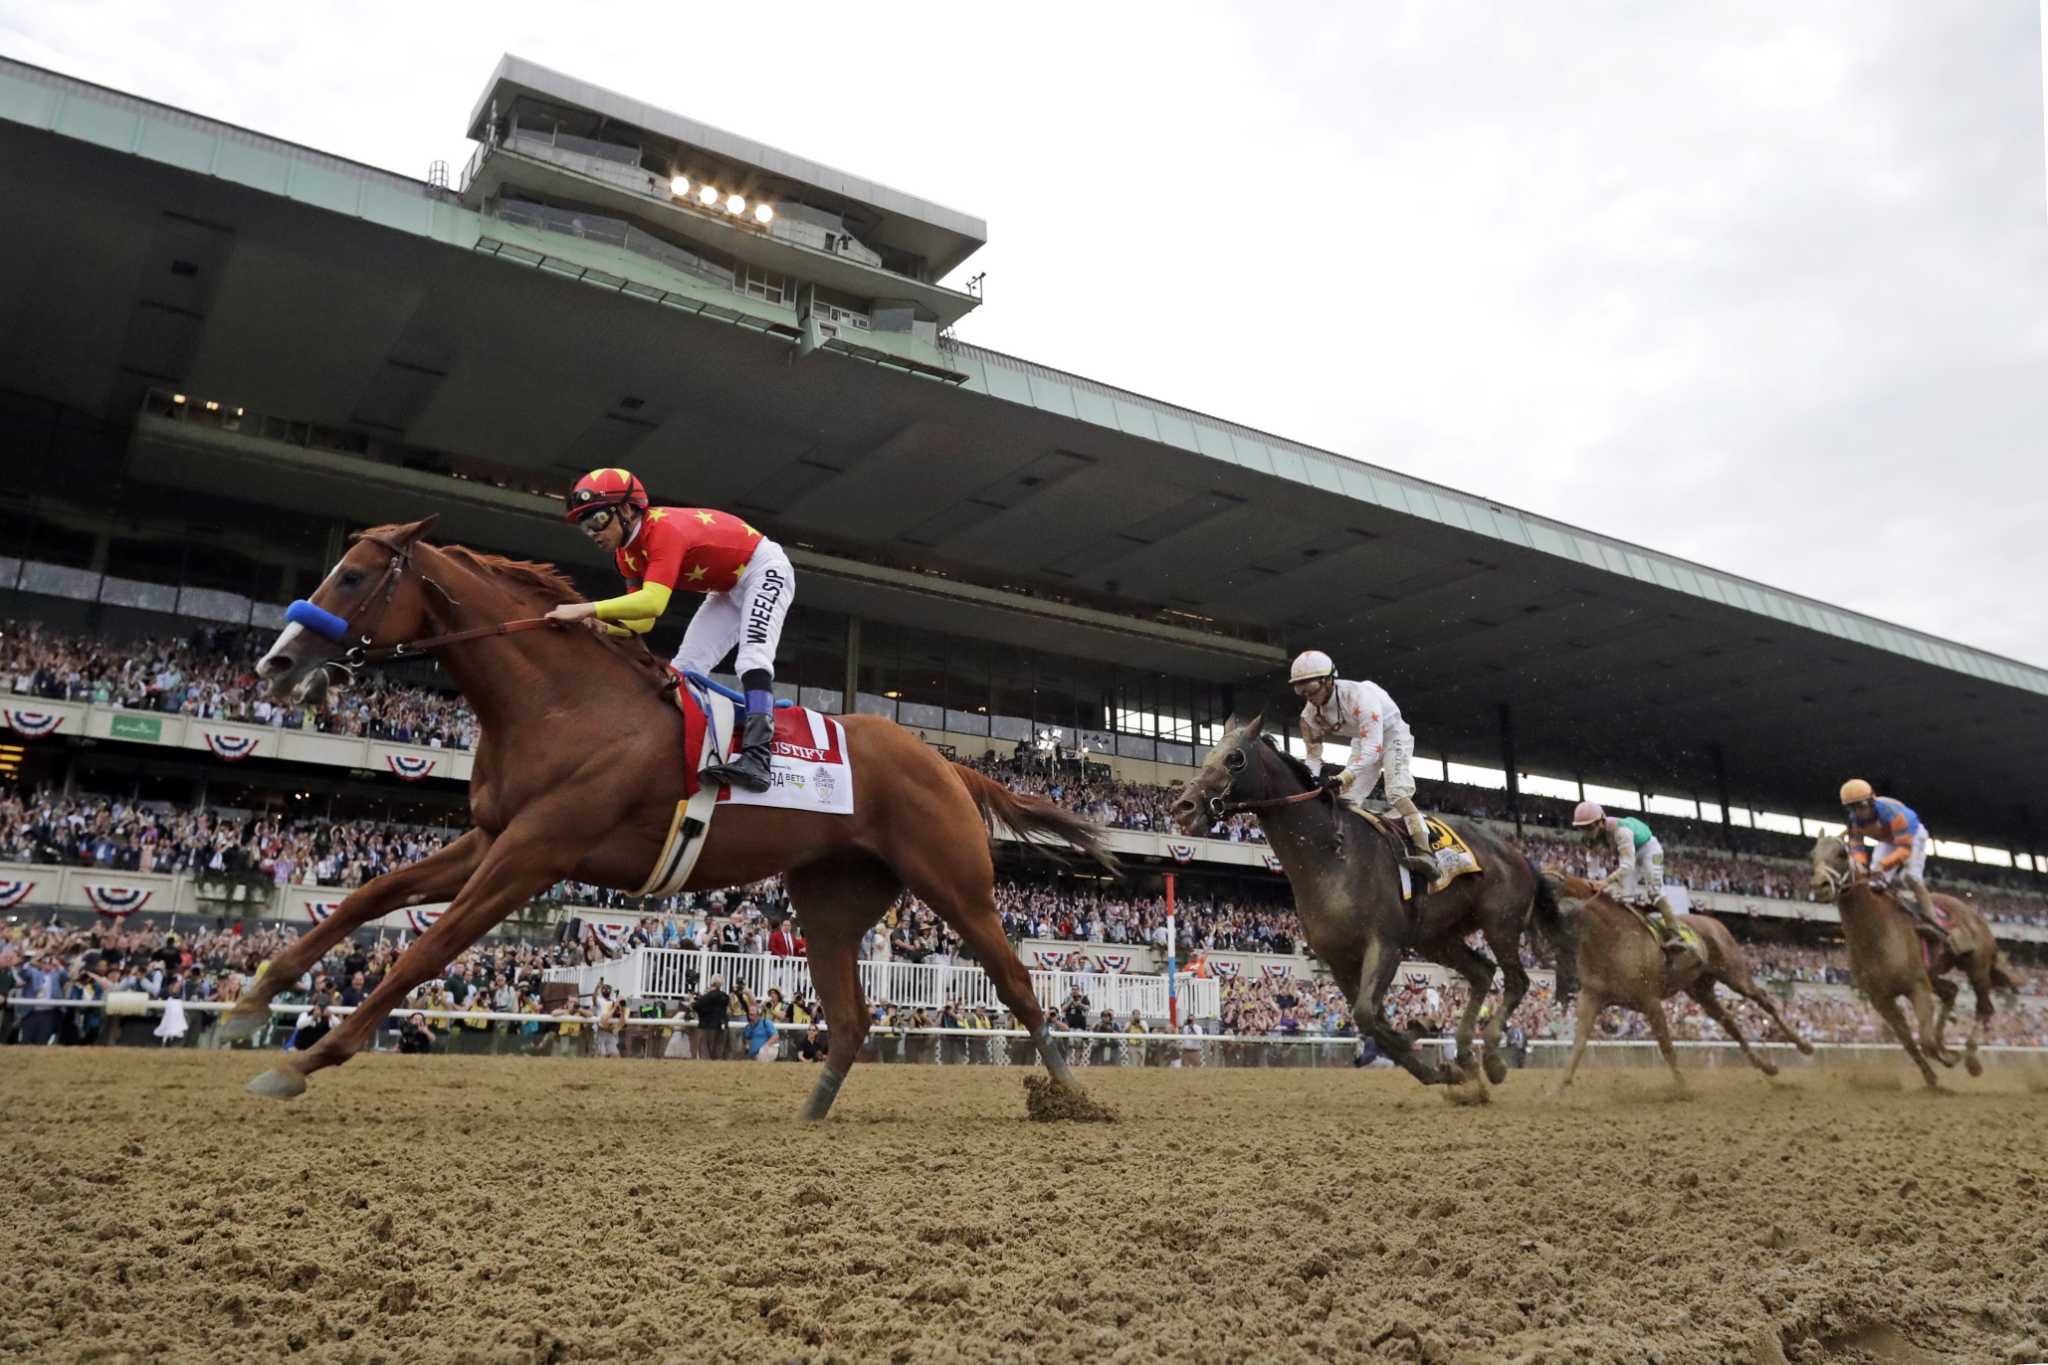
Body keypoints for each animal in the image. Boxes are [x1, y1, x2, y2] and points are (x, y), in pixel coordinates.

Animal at [224, 517, 1122, 1113]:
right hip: (830, 897)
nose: (277, 663)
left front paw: (306, 1058)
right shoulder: (492, 835)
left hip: (954, 881)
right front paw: (253, 999)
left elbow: (427, 949)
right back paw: (810, 1111)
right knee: (851, 1015)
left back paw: (1074, 1094)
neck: (561, 702)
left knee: (1016, 982)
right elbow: (371, 895)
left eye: (351, 576)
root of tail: (944, 762)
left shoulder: (536, 850)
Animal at [1171, 716, 1564, 1088]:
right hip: (1436, 938)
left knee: (1517, 982)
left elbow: (1366, 1016)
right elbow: (1372, 1021)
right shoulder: (1339, 959)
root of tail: (1519, 854)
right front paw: (1432, 1056)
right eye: (1207, 756)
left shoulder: (1384, 944)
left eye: (1234, 758)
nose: (1183, 806)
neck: (1330, 857)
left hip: (1500, 923)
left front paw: (1424, 1043)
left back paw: (1493, 1060)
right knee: (1482, 973)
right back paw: (1465, 1053)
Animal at [1540, 875, 1818, 1088]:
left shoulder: (1649, 1000)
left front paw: (1683, 1088)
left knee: (1764, 1000)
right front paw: (1557, 1089)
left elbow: (1666, 1047)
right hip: (1701, 990)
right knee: (1730, 1024)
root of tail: (1712, 920)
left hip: (1734, 973)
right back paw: (1767, 1066)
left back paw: (1804, 1045)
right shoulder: (1592, 996)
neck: (1610, 939)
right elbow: (1578, 1044)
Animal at [1810, 834, 2015, 1088]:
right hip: (1933, 975)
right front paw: (1932, 1076)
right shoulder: (1880, 999)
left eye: (1841, 854)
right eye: (1812, 855)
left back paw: (1971, 1060)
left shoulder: (1916, 987)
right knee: (1952, 991)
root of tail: (1975, 914)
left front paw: (1949, 1057)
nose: (1819, 886)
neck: (1875, 932)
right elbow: (1909, 1042)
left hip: (1977, 967)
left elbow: (1925, 1041)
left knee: (1984, 1007)